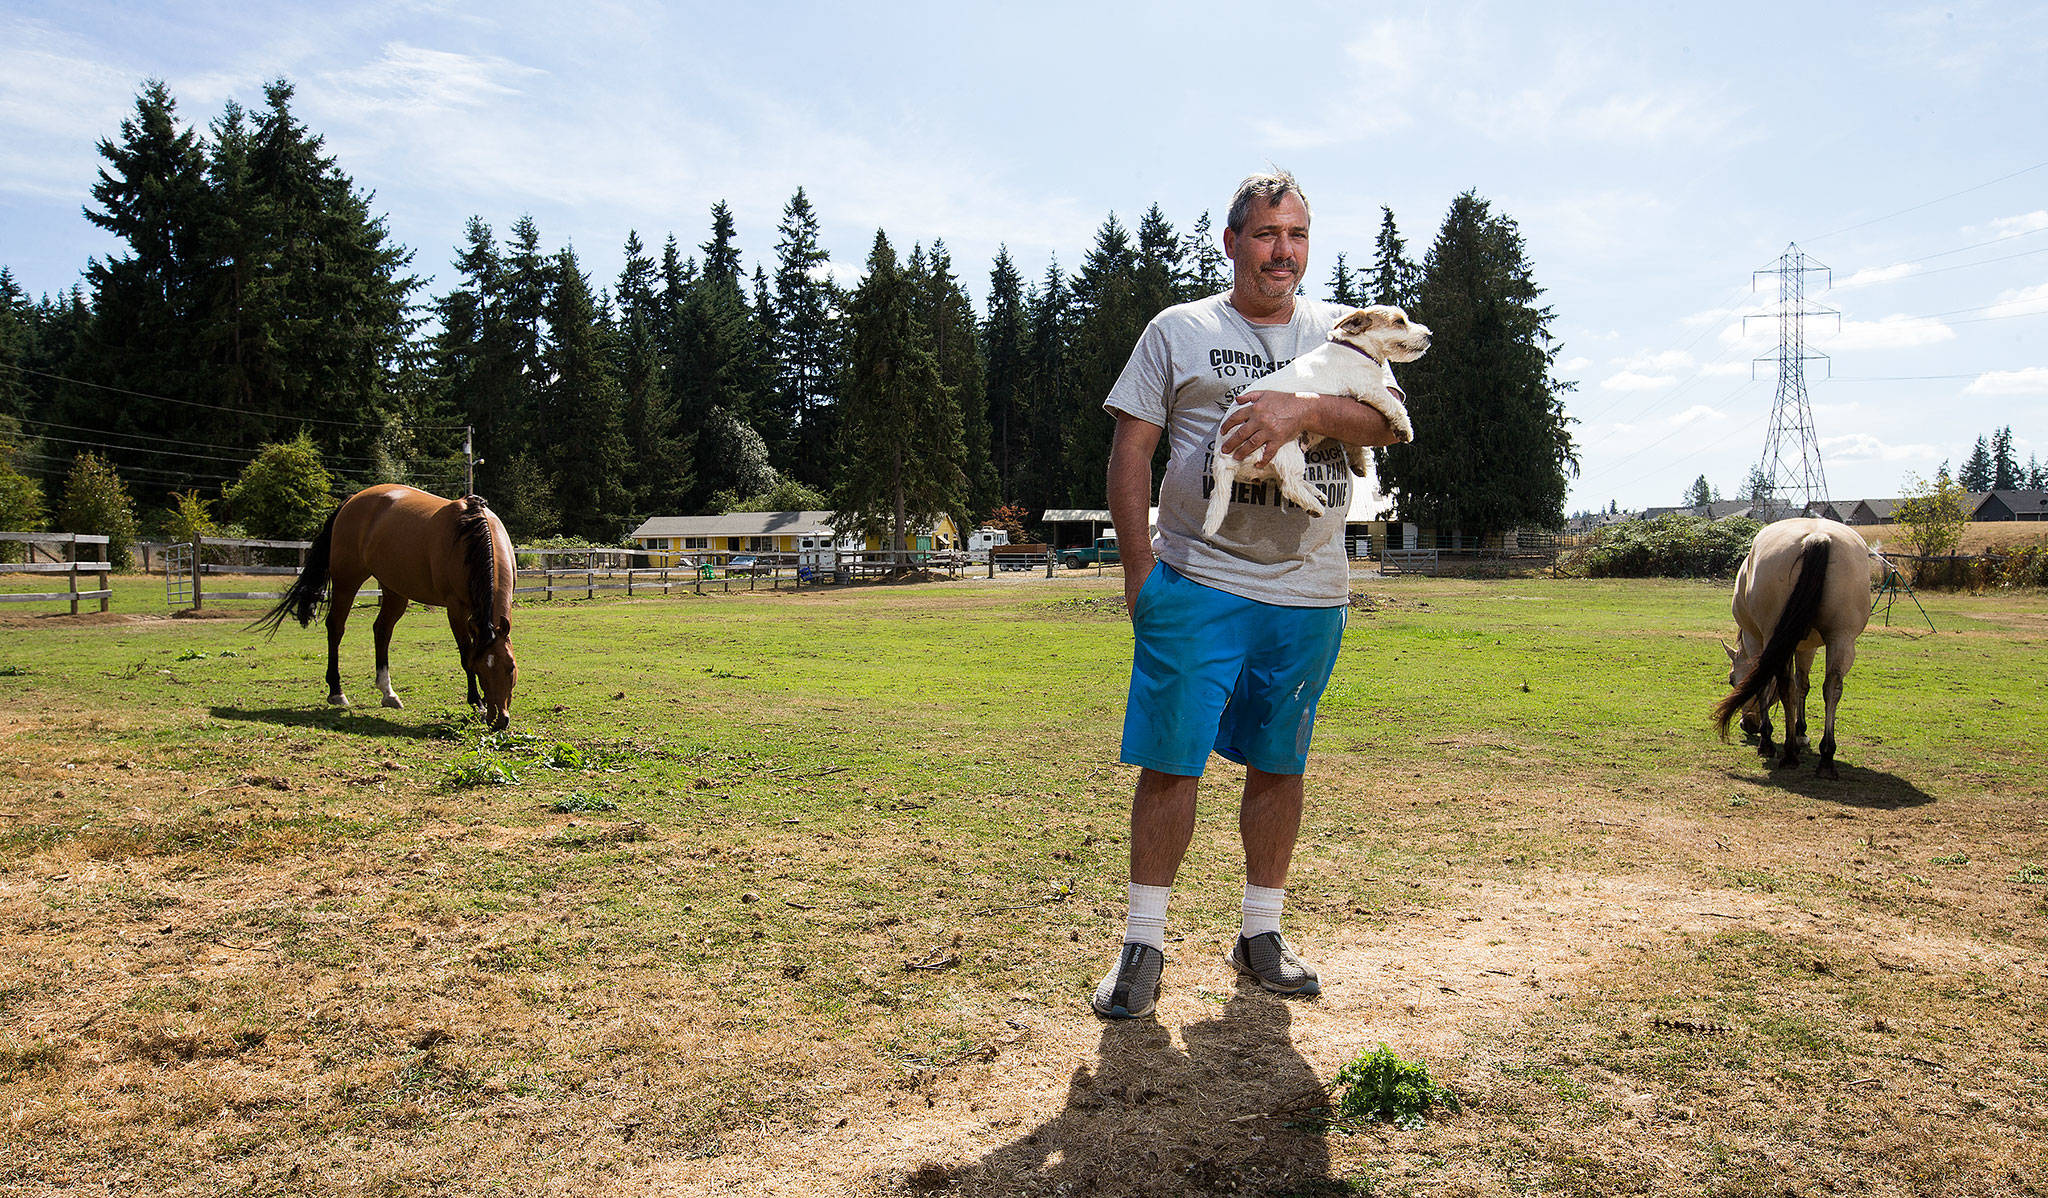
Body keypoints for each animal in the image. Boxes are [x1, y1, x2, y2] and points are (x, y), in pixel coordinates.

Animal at [252, 483, 520, 729]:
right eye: (480, 669)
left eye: (510, 668)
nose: (499, 720)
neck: (471, 536)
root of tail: (352, 500)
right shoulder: (455, 608)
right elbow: (465, 653)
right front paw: (477, 702)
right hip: (347, 581)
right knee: (336, 628)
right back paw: (336, 691)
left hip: (394, 591)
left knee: (381, 630)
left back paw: (387, 692)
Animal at [1196, 303, 1433, 536]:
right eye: (1399, 321)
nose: (1429, 335)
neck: (1356, 349)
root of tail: (1222, 459)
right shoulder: (1369, 388)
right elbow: (1396, 406)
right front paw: (1405, 429)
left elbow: (1354, 440)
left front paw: (1358, 461)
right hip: (1286, 449)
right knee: (1290, 485)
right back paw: (1314, 505)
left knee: (1286, 481)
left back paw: (1315, 493)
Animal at [1712, 518, 1875, 778]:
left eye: (1731, 680)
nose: (1748, 725)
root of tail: (1817, 537)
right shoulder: (1806, 646)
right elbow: (1803, 685)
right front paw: (1800, 732)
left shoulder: (1756, 639)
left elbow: (1769, 685)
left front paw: (1772, 739)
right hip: (1841, 638)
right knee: (1832, 687)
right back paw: (1826, 757)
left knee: (1785, 685)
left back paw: (1785, 752)